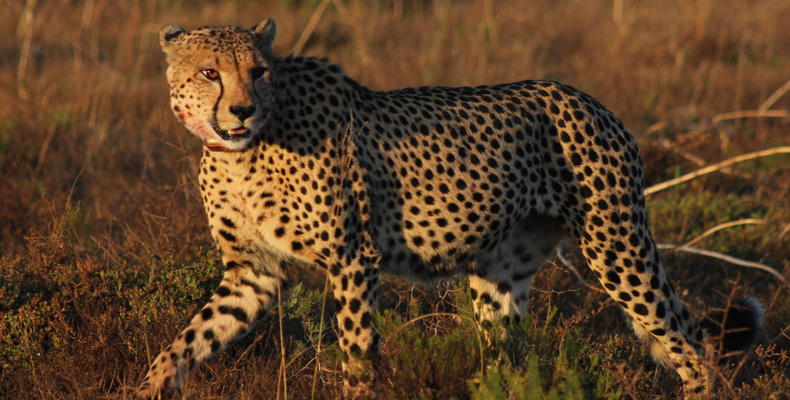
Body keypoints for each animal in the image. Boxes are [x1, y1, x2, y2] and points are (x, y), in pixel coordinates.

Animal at [138, 19, 768, 400]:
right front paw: (148, 387)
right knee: (509, 358)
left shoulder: (352, 260)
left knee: (689, 345)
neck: (241, 152)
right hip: (499, 275)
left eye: (259, 71)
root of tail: (589, 99)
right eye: (210, 72)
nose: (241, 110)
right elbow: (188, 339)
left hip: (616, 248)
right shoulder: (254, 272)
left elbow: (356, 351)